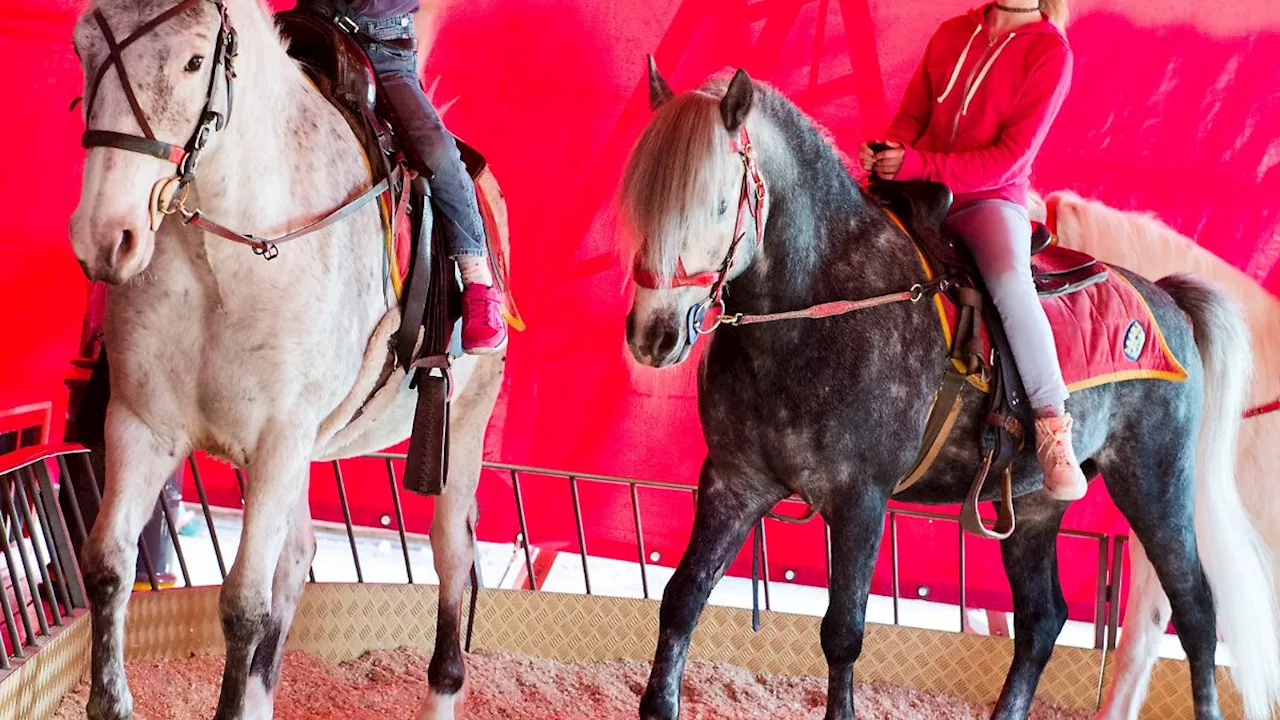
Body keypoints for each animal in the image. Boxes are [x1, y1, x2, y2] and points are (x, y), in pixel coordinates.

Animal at [70, 0, 514, 712]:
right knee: (300, 553)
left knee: (451, 552)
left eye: (194, 60)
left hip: (463, 425)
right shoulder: (142, 424)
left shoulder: (280, 437)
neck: (230, 254)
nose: (106, 237)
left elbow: (243, 606)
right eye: (83, 46)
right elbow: (109, 566)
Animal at [616, 60, 1269, 717]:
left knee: (1195, 611)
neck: (822, 307)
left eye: (719, 203)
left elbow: (843, 633)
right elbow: (682, 597)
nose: (654, 335)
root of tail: (1166, 301)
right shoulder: (735, 482)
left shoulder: (860, 499)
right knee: (1043, 618)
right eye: (642, 203)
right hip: (1036, 504)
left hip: (1156, 485)